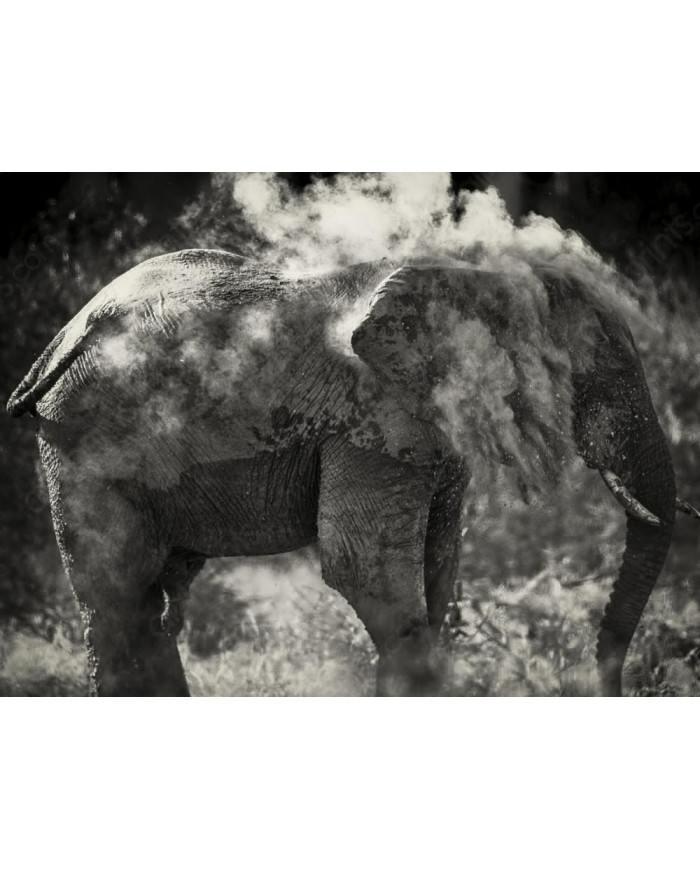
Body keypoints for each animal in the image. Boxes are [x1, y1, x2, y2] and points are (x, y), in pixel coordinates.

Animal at [7, 248, 697, 696]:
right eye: (596, 377)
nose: (602, 684)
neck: (475, 279)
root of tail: (64, 336)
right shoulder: (374, 417)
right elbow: (364, 570)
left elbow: (438, 568)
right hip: (84, 439)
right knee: (119, 599)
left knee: (146, 604)